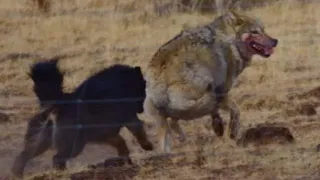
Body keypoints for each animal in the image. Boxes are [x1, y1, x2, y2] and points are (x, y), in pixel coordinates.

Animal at [11, 58, 154, 177]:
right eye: (143, 88)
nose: (142, 109)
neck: (122, 83)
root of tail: (59, 104)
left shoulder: (106, 132)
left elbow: (121, 144)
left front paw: (126, 161)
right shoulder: (128, 118)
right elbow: (138, 131)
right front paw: (148, 146)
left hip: (42, 140)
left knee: (24, 155)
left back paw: (17, 173)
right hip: (72, 144)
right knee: (57, 158)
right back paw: (63, 173)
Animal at [142, 9, 278, 153]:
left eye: (263, 30)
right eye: (254, 32)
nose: (275, 41)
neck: (231, 41)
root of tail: (158, 84)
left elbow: (217, 112)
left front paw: (218, 127)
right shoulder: (222, 90)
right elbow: (236, 111)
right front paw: (231, 132)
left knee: (169, 130)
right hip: (205, 89)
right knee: (175, 120)